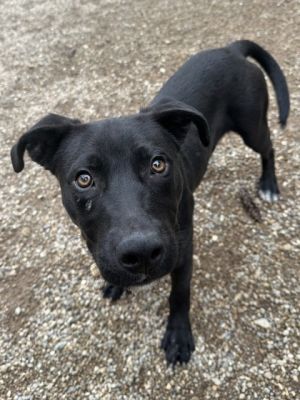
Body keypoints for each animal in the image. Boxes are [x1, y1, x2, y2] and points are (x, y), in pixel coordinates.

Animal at [11, 40, 288, 366]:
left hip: (252, 126)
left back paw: (268, 185)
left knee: (268, 147)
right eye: (84, 179)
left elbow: (179, 294)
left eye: (158, 164)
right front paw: (118, 284)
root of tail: (231, 48)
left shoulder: (183, 248)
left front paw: (178, 337)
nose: (141, 253)